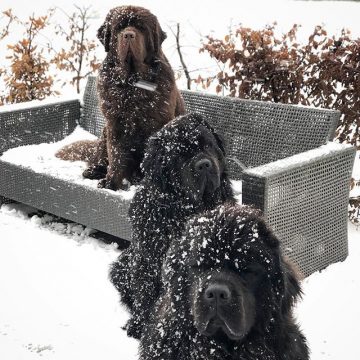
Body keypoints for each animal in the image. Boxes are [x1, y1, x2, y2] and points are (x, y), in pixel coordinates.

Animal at [57, 6, 186, 191]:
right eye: (119, 27)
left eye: (141, 27)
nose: (129, 35)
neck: (132, 82)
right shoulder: (115, 124)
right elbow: (116, 156)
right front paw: (111, 183)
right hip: (104, 132)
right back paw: (94, 171)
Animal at [108, 113, 235, 340]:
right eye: (179, 155)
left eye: (208, 145)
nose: (204, 164)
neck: (185, 210)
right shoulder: (147, 258)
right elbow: (145, 292)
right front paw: (138, 326)